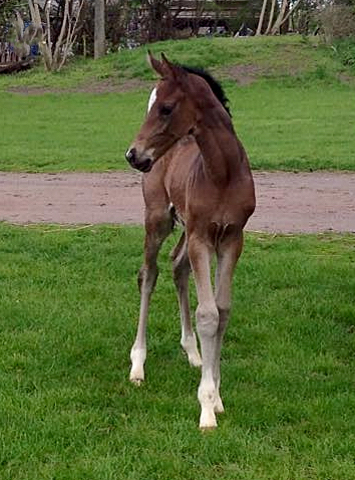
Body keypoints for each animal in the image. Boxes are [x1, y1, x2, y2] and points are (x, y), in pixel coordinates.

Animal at [125, 51, 256, 428]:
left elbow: (222, 310)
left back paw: (193, 351)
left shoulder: (231, 239)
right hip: (158, 219)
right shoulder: (201, 238)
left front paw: (217, 394)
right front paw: (207, 408)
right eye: (150, 104)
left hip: (185, 228)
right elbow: (207, 313)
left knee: (177, 266)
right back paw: (137, 365)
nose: (133, 154)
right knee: (148, 275)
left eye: (166, 108)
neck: (223, 172)